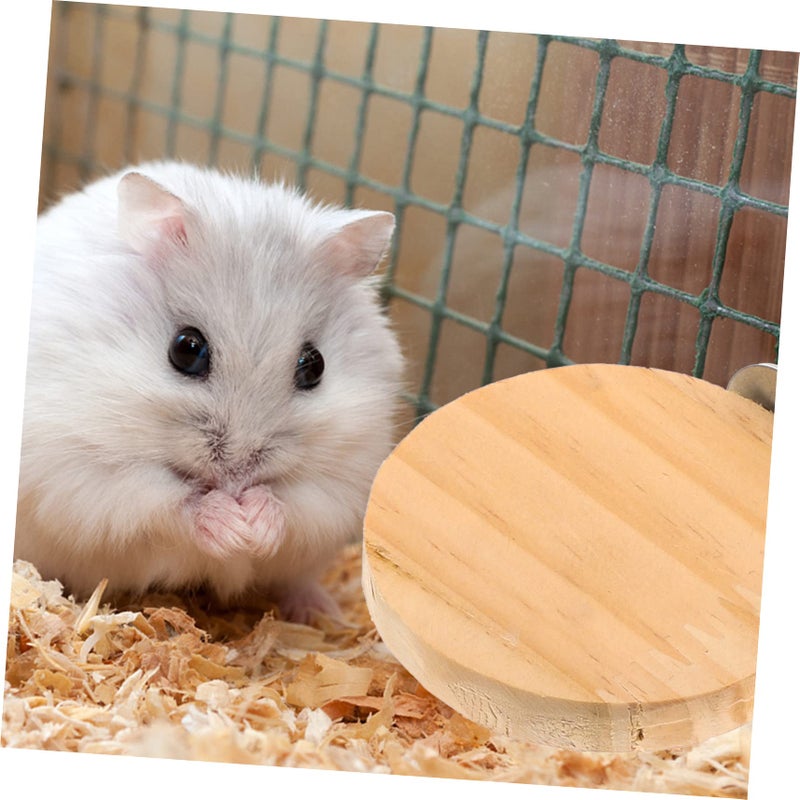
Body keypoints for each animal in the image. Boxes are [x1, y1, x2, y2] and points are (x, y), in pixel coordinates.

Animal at [14, 160, 404, 622]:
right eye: (186, 349)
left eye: (315, 365)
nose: (237, 477)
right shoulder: (83, 473)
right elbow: (166, 503)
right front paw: (232, 528)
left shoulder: (345, 479)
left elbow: (295, 503)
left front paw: (255, 526)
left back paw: (320, 613)